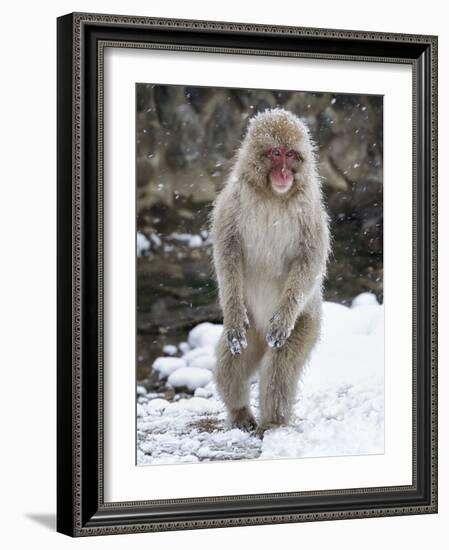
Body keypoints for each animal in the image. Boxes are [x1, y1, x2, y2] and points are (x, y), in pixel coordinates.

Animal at [210, 108, 328, 438]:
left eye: (290, 154)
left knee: (279, 367)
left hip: (307, 323)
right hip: (251, 329)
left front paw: (282, 321)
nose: (284, 172)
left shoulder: (310, 210)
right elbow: (228, 254)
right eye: (275, 153)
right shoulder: (232, 201)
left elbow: (309, 260)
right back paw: (240, 412)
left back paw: (273, 423)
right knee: (230, 363)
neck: (274, 196)